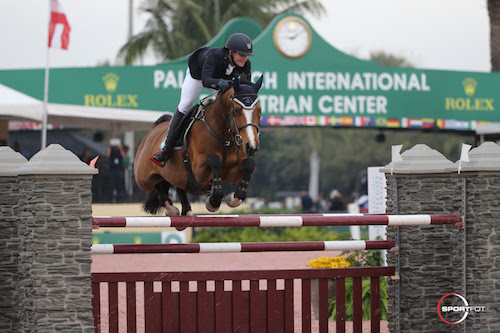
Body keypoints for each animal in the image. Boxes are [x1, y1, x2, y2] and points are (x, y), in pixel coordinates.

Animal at [135, 75, 264, 215]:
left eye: (259, 111)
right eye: (236, 110)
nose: (251, 146)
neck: (223, 136)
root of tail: (152, 132)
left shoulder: (232, 173)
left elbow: (249, 164)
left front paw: (231, 199)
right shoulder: (199, 171)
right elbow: (214, 160)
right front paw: (213, 201)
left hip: (177, 178)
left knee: (178, 187)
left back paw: (186, 210)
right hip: (143, 179)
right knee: (156, 185)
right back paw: (171, 209)